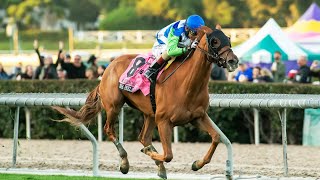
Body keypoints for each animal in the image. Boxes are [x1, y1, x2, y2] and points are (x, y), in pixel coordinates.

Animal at [53, 26, 238, 179]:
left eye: (228, 39)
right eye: (215, 41)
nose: (233, 61)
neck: (186, 85)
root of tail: (108, 67)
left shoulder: (198, 117)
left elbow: (216, 137)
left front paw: (197, 164)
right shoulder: (164, 121)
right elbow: (168, 155)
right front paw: (150, 154)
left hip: (149, 113)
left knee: (143, 137)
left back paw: (158, 166)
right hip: (114, 106)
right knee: (109, 129)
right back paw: (125, 163)